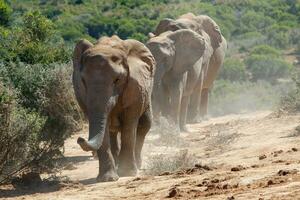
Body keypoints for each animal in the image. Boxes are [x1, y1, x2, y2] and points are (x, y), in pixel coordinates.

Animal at [73, 35, 156, 182]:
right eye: (83, 81)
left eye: (117, 80)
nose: (80, 139)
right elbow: (104, 130)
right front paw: (107, 179)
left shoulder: (135, 85)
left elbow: (129, 126)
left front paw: (127, 173)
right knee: (112, 131)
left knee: (144, 124)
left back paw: (137, 165)